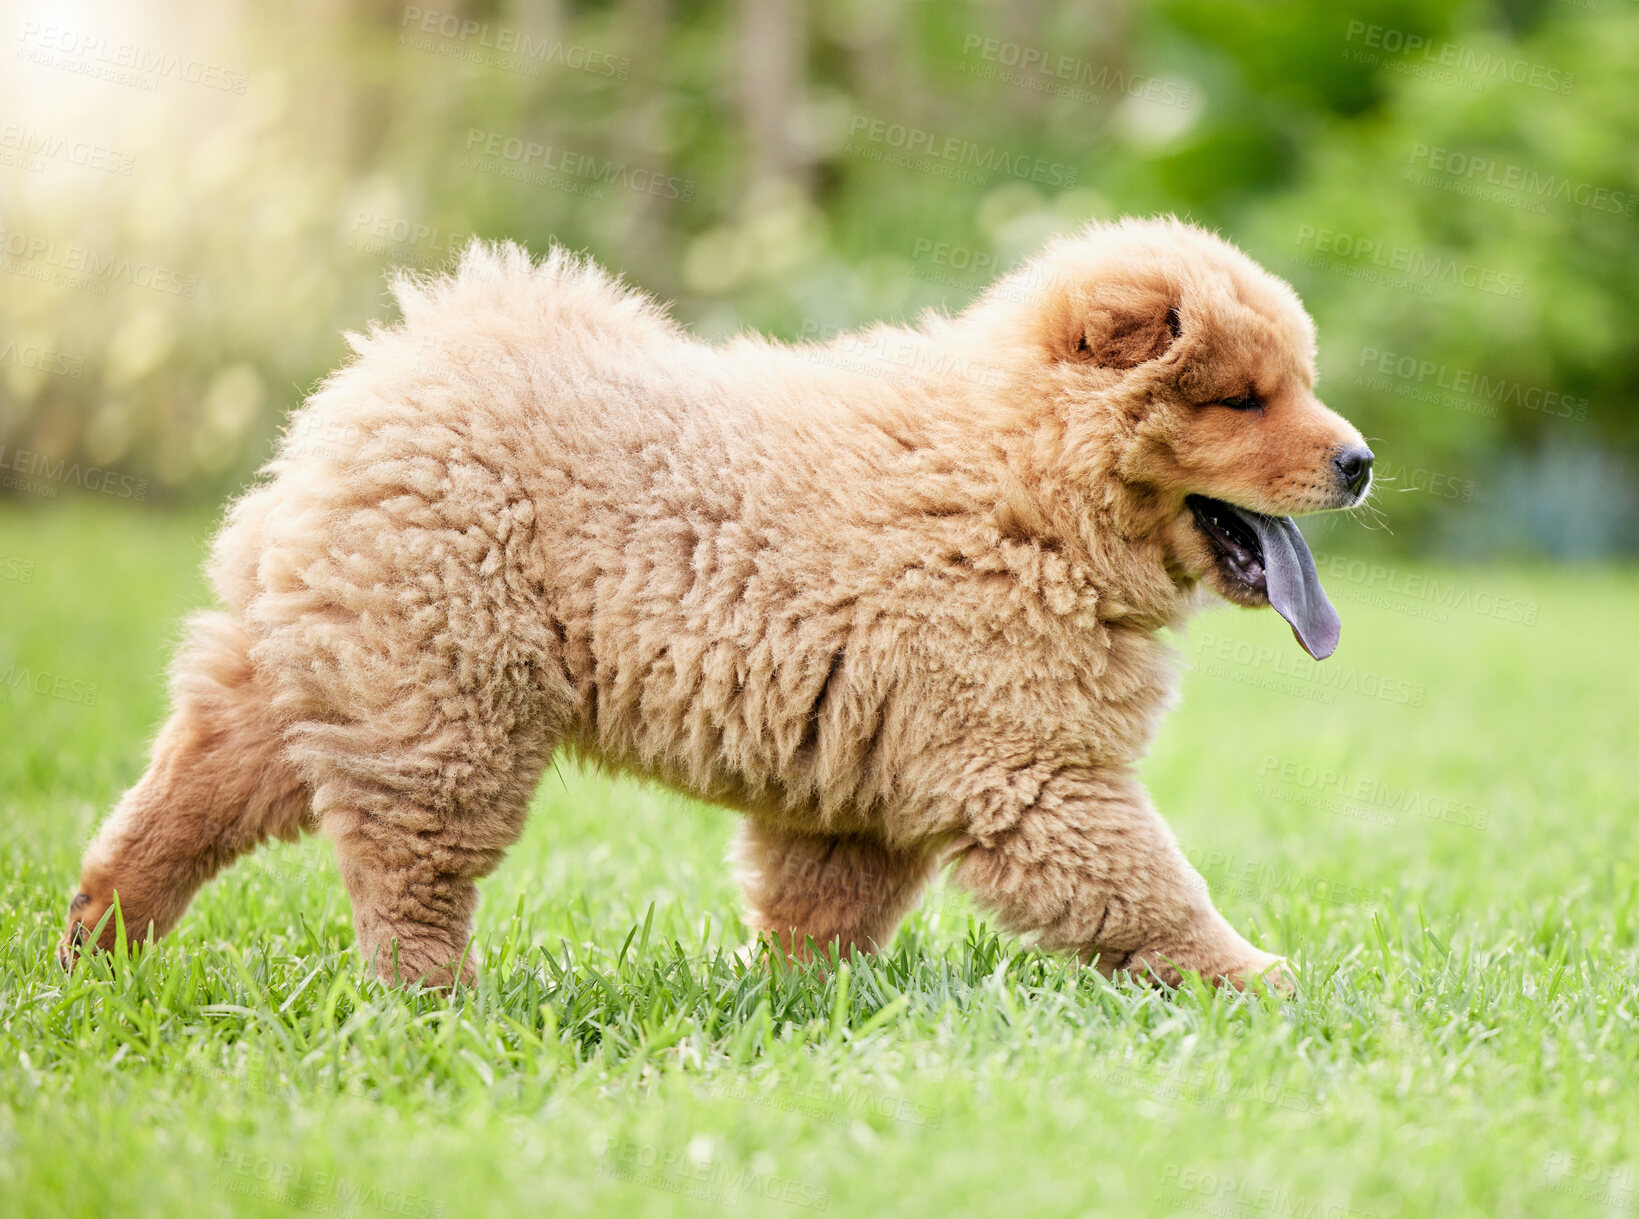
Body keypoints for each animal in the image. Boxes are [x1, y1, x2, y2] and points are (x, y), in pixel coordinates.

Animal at [60, 214, 1370, 983]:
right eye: (1243, 400)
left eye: (1301, 384)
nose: (1358, 460)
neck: (1022, 476)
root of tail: (384, 369)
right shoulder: (1030, 767)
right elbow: (1148, 890)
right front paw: (1264, 981)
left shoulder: (869, 783)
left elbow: (822, 908)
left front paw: (795, 1004)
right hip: (445, 696)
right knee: (406, 866)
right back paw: (435, 1000)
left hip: (318, 667)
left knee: (177, 803)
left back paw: (95, 951)